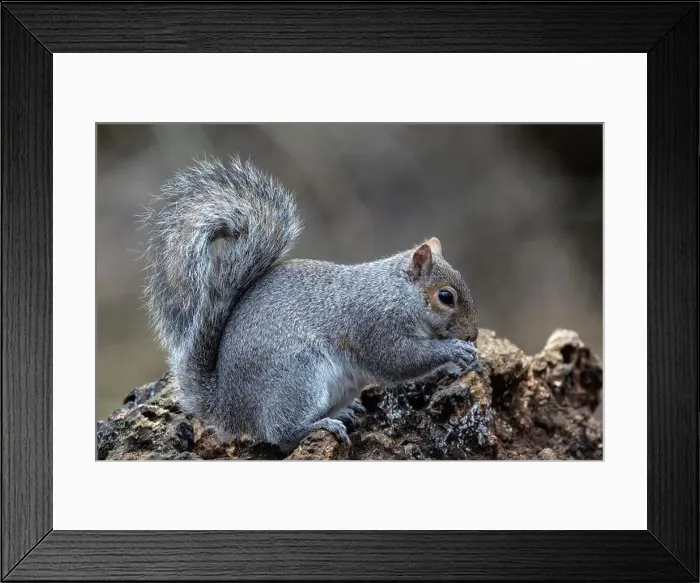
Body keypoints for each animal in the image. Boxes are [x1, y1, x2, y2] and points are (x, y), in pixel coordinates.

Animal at [140, 155, 480, 453]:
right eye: (445, 297)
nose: (473, 335)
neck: (396, 292)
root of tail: (228, 407)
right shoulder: (374, 323)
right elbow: (398, 359)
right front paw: (454, 351)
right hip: (298, 376)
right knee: (281, 434)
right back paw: (320, 425)